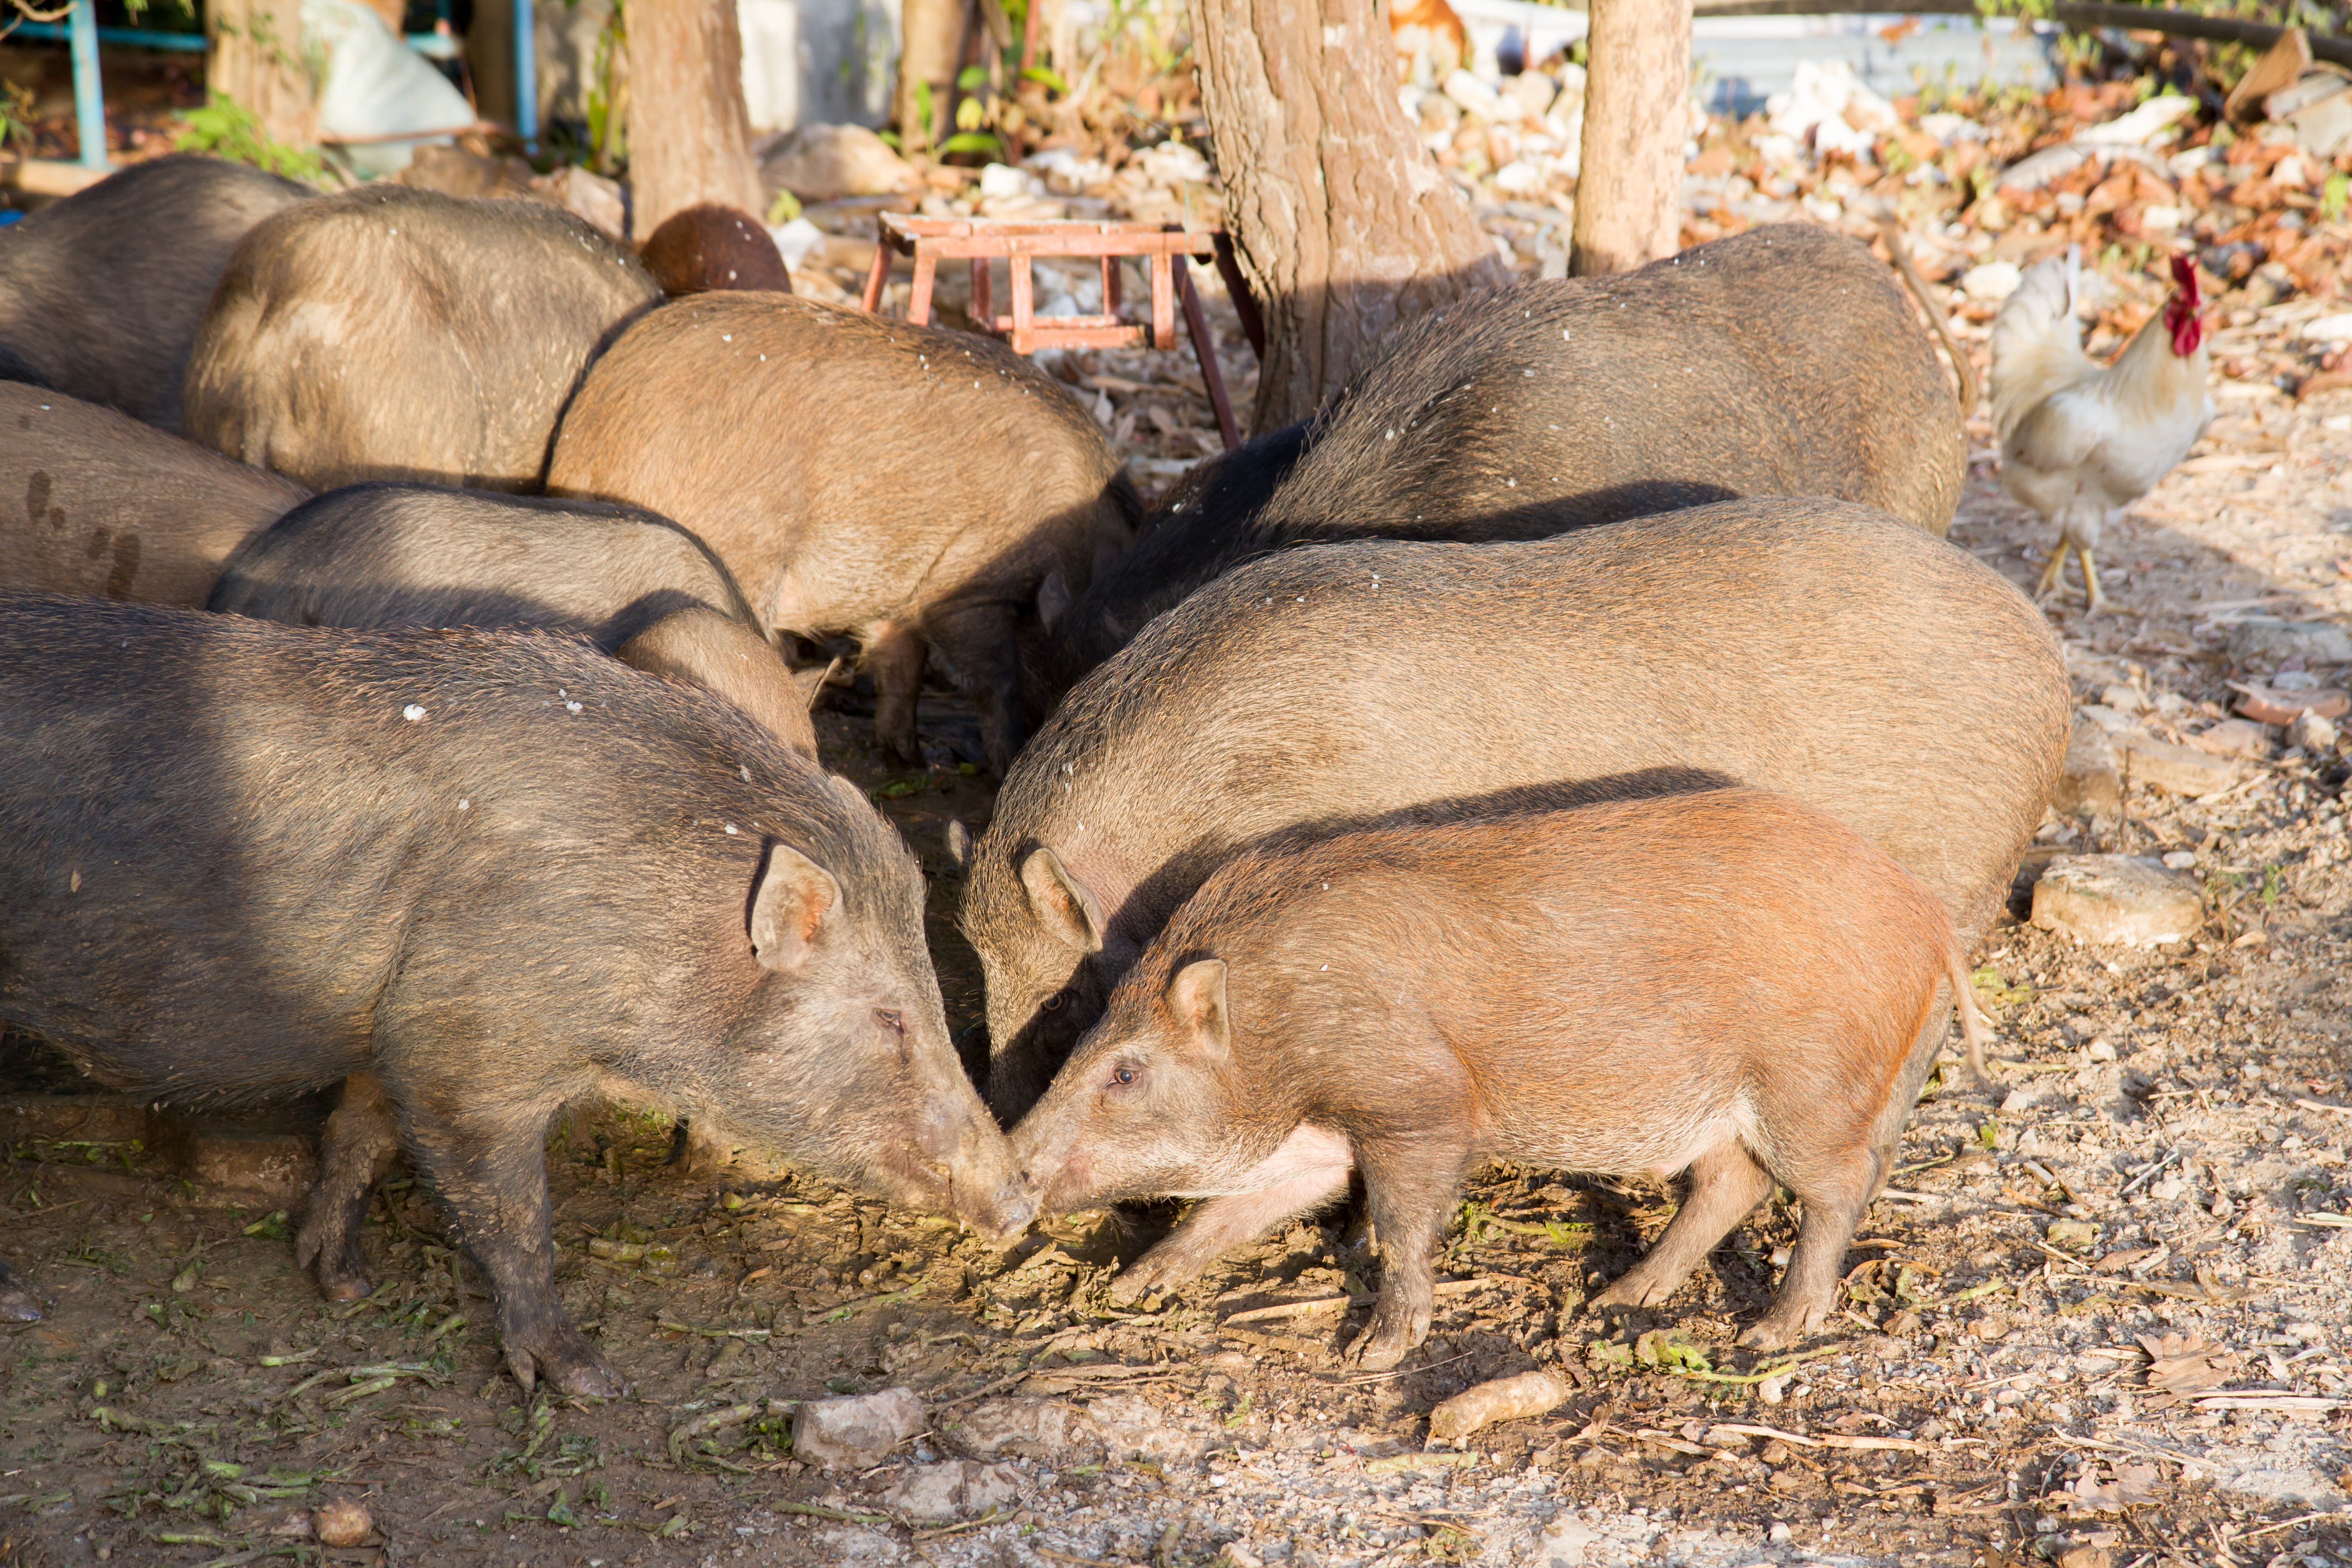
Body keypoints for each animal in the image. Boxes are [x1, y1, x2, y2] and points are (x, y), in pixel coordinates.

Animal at [0, 592, 1029, 1395]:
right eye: (891, 1017)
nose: (1020, 1205)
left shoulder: (397, 1028)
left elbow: (359, 1135)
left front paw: (341, 1285)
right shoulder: (473, 1048)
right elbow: (514, 1219)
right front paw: (589, 1382)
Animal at [546, 293, 1140, 774]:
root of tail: (585, 434)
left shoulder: (898, 604)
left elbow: (901, 664)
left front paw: (908, 758)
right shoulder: (968, 590)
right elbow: (997, 679)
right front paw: (1002, 760)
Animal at [1010, 788, 1991, 1367]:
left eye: (1126, 1071)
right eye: (1087, 1045)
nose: (1010, 1166)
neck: (1279, 1028)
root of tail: (1924, 917)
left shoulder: (1417, 1104)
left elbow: (1401, 1223)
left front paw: (1369, 1356)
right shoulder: (1320, 1142)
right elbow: (1243, 1205)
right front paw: (1127, 1290)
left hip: (1810, 1087)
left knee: (1837, 1185)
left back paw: (1765, 1335)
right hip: (1730, 1108)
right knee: (1730, 1183)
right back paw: (1615, 1298)